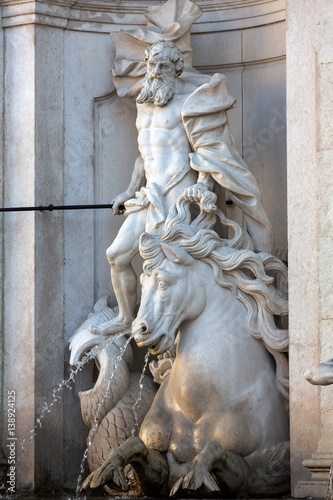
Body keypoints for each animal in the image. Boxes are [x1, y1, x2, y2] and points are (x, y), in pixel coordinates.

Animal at [84, 197, 290, 498]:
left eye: (162, 282)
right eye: (141, 283)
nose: (139, 330)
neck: (199, 404)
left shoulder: (260, 471)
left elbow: (214, 451)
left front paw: (196, 478)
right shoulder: (159, 465)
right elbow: (135, 445)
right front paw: (108, 469)